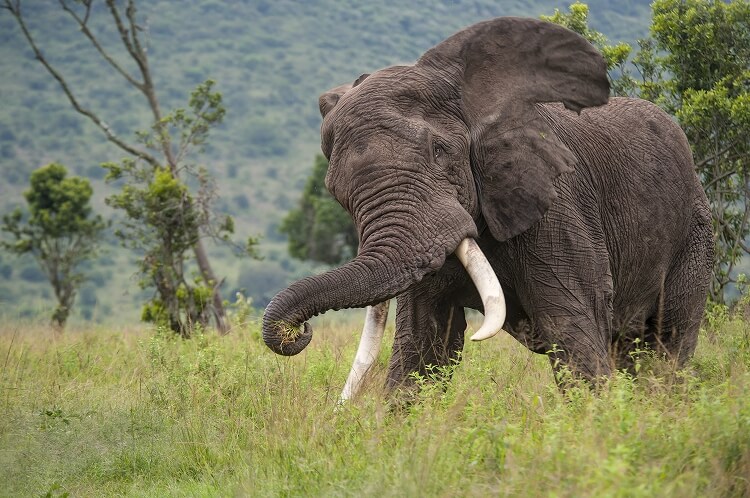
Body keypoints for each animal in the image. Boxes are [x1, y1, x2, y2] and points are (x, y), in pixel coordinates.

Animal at [264, 16, 716, 396]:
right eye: (336, 191)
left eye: (440, 152)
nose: (298, 332)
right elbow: (423, 346)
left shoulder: (558, 210)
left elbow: (572, 327)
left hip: (695, 233)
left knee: (668, 342)